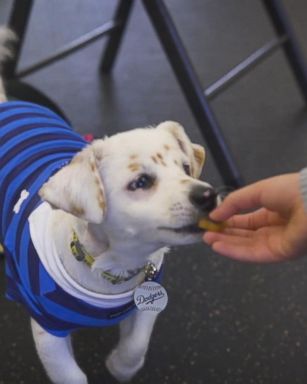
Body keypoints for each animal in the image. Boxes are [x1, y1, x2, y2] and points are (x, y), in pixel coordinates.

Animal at [0, 27, 219, 384]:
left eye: (186, 168)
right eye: (141, 182)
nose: (207, 195)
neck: (112, 268)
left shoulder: (146, 304)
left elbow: (136, 346)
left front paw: (119, 365)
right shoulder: (48, 330)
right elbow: (70, 376)